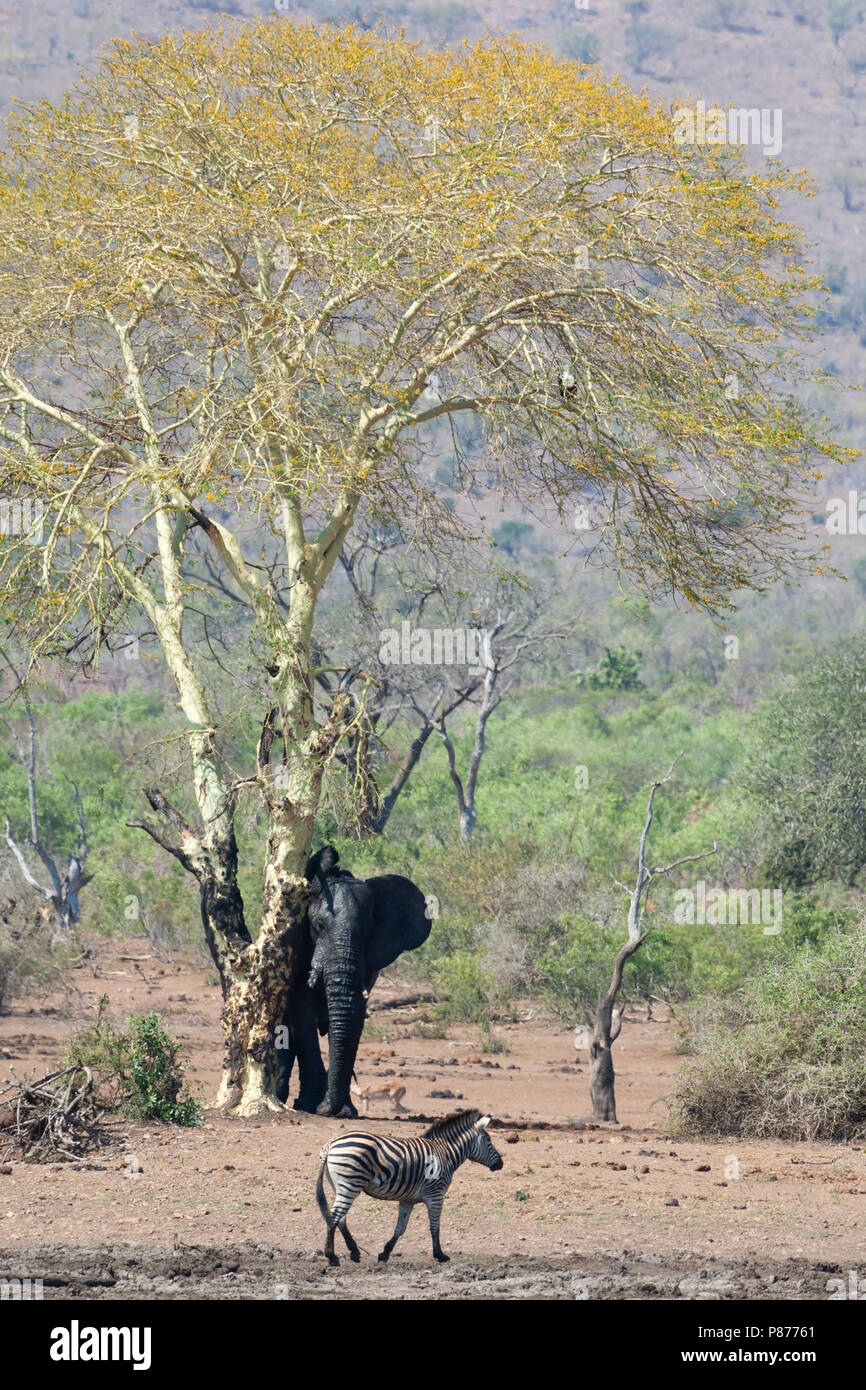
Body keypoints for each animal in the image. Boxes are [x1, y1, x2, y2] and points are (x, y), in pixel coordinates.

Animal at [276, 845, 430, 1117]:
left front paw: (343, 1111)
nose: (329, 1108)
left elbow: (356, 1012)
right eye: (318, 926)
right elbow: (301, 1011)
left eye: (368, 931)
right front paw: (311, 1106)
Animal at [315, 1112, 505, 1267]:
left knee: (340, 1218)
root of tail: (331, 1144)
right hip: (350, 1184)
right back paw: (332, 1257)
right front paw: (440, 1255)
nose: (500, 1164)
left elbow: (400, 1228)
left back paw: (354, 1252)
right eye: (489, 1141)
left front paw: (385, 1253)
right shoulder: (436, 1194)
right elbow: (435, 1226)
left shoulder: (407, 1199)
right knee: (334, 1217)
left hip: (339, 1186)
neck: (445, 1153)